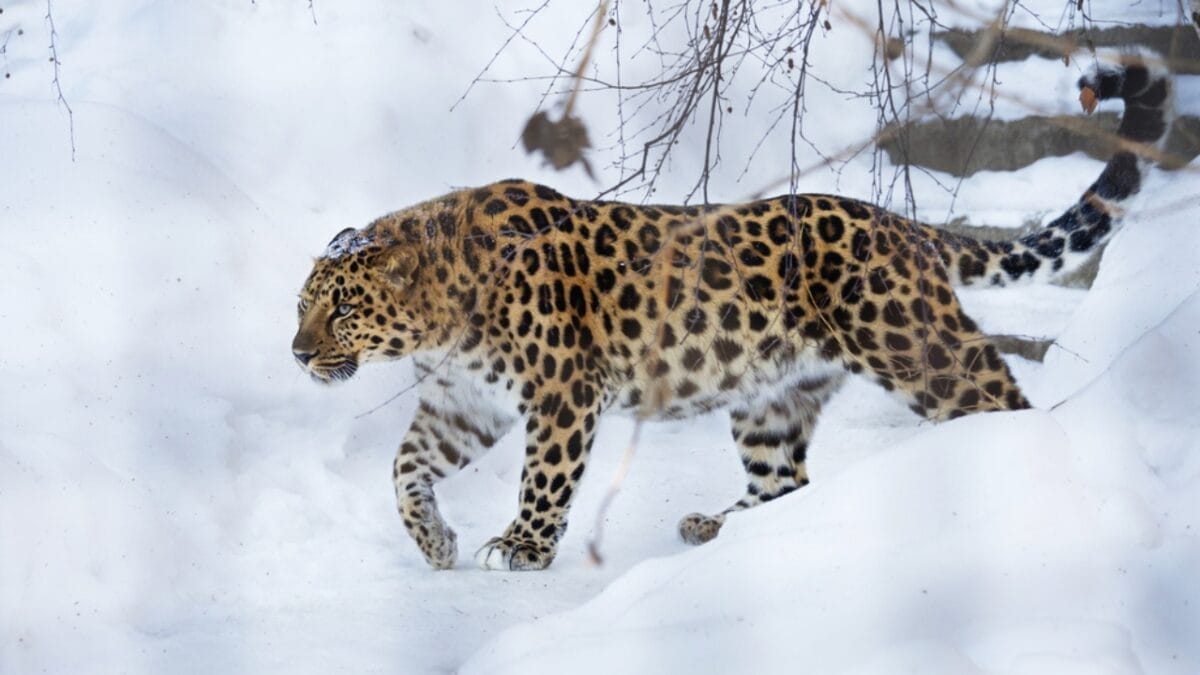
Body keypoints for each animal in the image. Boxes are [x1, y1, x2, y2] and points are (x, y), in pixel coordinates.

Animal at [292, 52, 1171, 571]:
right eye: (300, 308)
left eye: (341, 309)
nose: (299, 354)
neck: (439, 321)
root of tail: (902, 225)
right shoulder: (462, 401)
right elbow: (405, 469)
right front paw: (434, 539)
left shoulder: (564, 392)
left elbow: (545, 476)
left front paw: (522, 545)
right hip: (771, 398)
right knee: (784, 481)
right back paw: (718, 530)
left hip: (918, 348)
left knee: (1000, 397)